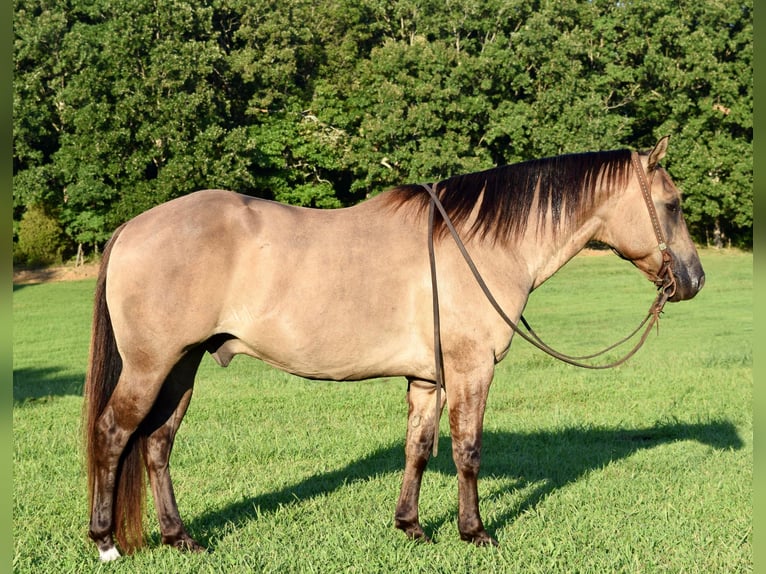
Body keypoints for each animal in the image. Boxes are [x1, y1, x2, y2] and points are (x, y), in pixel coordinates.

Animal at [84, 138, 708, 564]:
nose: (695, 280)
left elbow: (419, 449)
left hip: (182, 366)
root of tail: (132, 228)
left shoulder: (428, 380)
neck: (477, 244)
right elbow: (467, 452)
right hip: (151, 366)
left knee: (157, 443)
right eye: (673, 205)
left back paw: (179, 537)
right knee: (115, 434)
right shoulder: (472, 370)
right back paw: (105, 541)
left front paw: (410, 525)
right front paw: (475, 532)